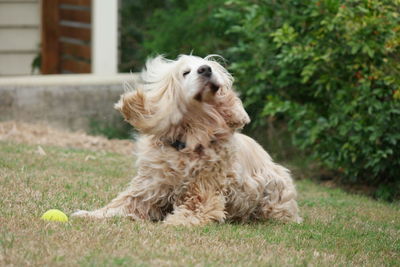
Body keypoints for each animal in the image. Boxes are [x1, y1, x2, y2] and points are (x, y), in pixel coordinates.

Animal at [72, 55, 302, 226]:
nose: (205, 69)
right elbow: (116, 206)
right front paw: (87, 214)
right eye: (185, 72)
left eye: (208, 67)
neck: (190, 136)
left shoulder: (203, 196)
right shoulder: (147, 189)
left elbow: (186, 216)